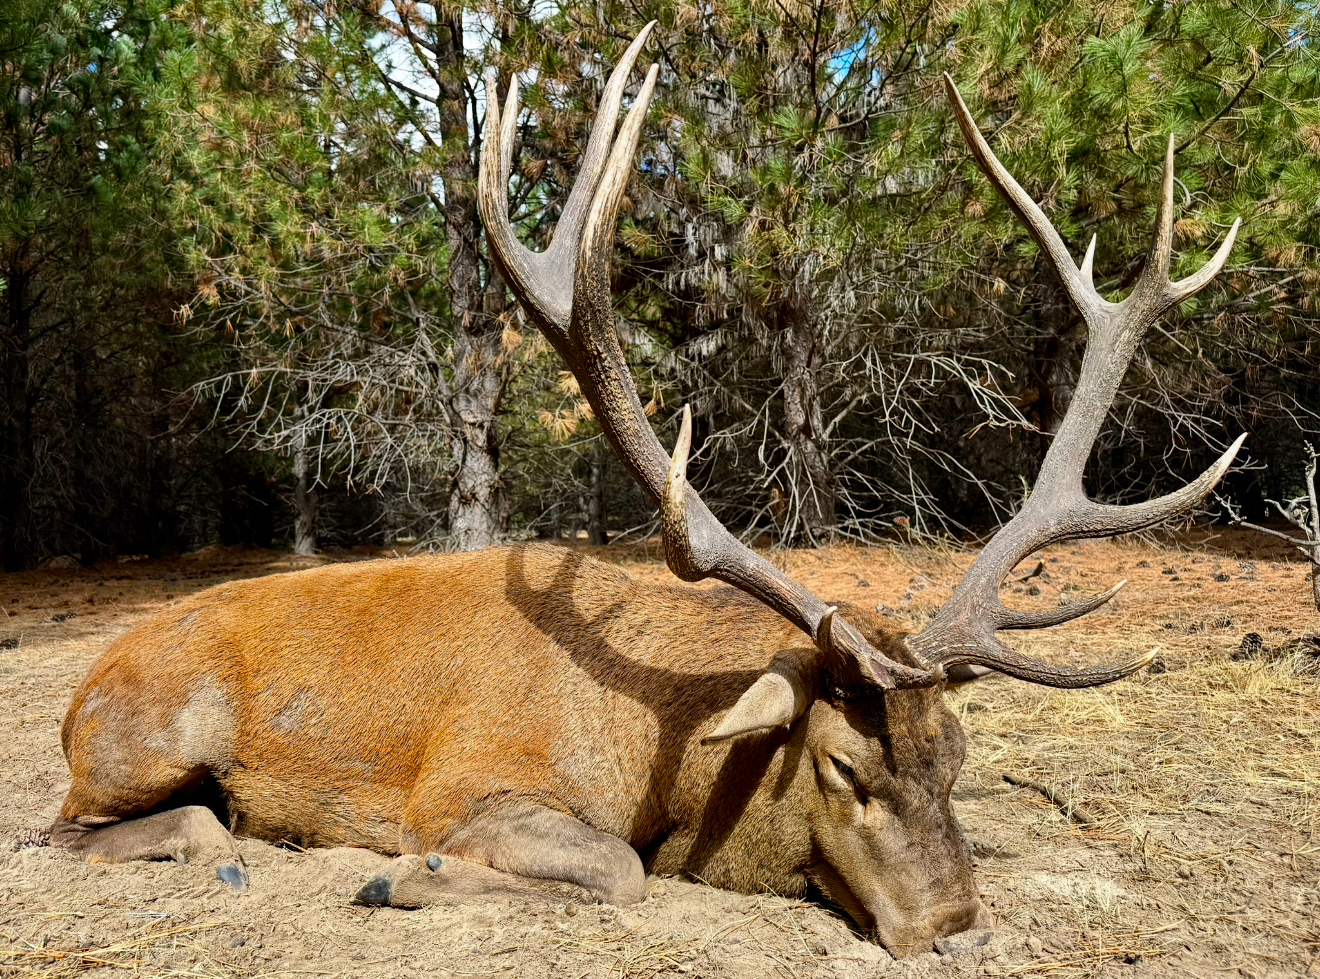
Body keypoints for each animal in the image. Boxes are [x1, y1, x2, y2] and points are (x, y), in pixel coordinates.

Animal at [48, 27, 1243, 959]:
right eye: (843, 764)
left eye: (956, 755)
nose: (960, 927)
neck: (658, 755)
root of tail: (78, 694)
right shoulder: (463, 785)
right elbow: (616, 869)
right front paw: (400, 876)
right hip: (146, 738)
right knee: (88, 827)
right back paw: (232, 849)